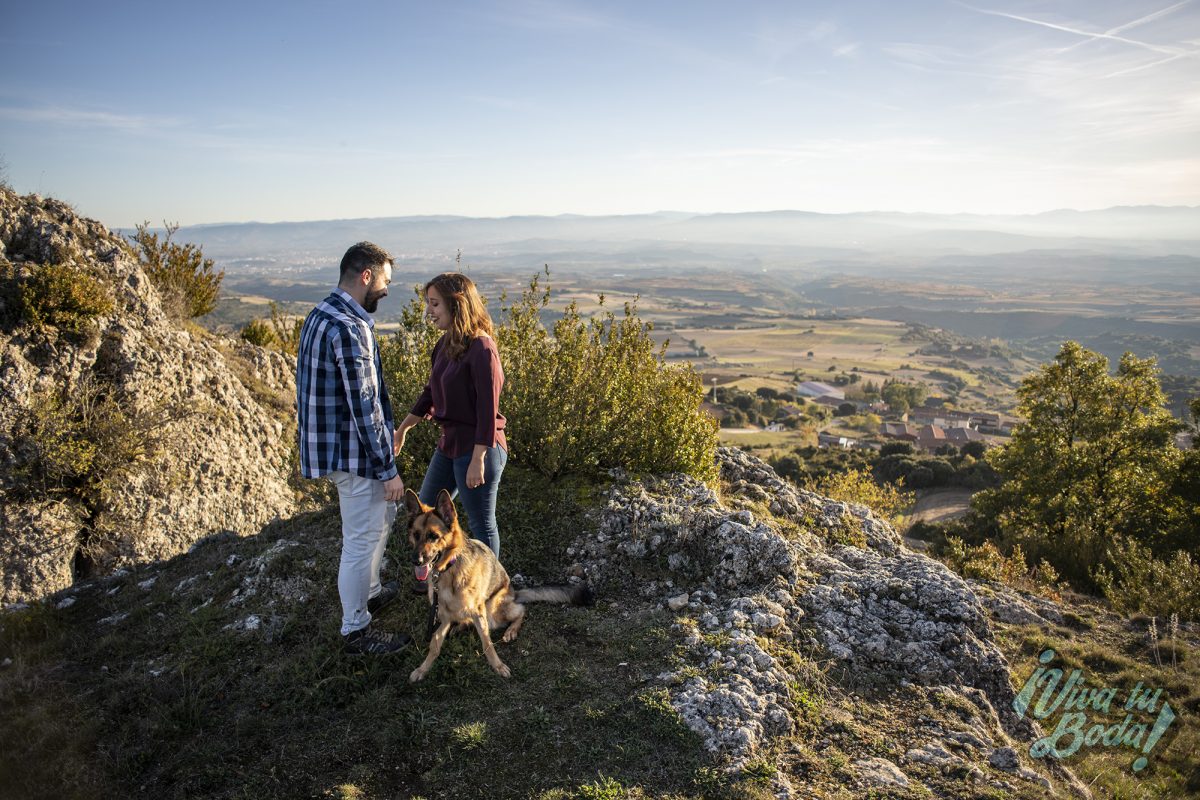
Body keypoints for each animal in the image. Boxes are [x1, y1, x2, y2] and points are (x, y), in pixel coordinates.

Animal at [403, 489, 590, 681]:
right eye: (416, 534)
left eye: (433, 536)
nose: (415, 561)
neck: (448, 569)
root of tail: (514, 593)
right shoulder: (444, 614)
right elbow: (434, 643)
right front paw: (423, 668)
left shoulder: (478, 612)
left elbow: (487, 642)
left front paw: (498, 666)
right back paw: (460, 626)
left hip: (491, 609)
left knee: (521, 610)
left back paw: (510, 630)